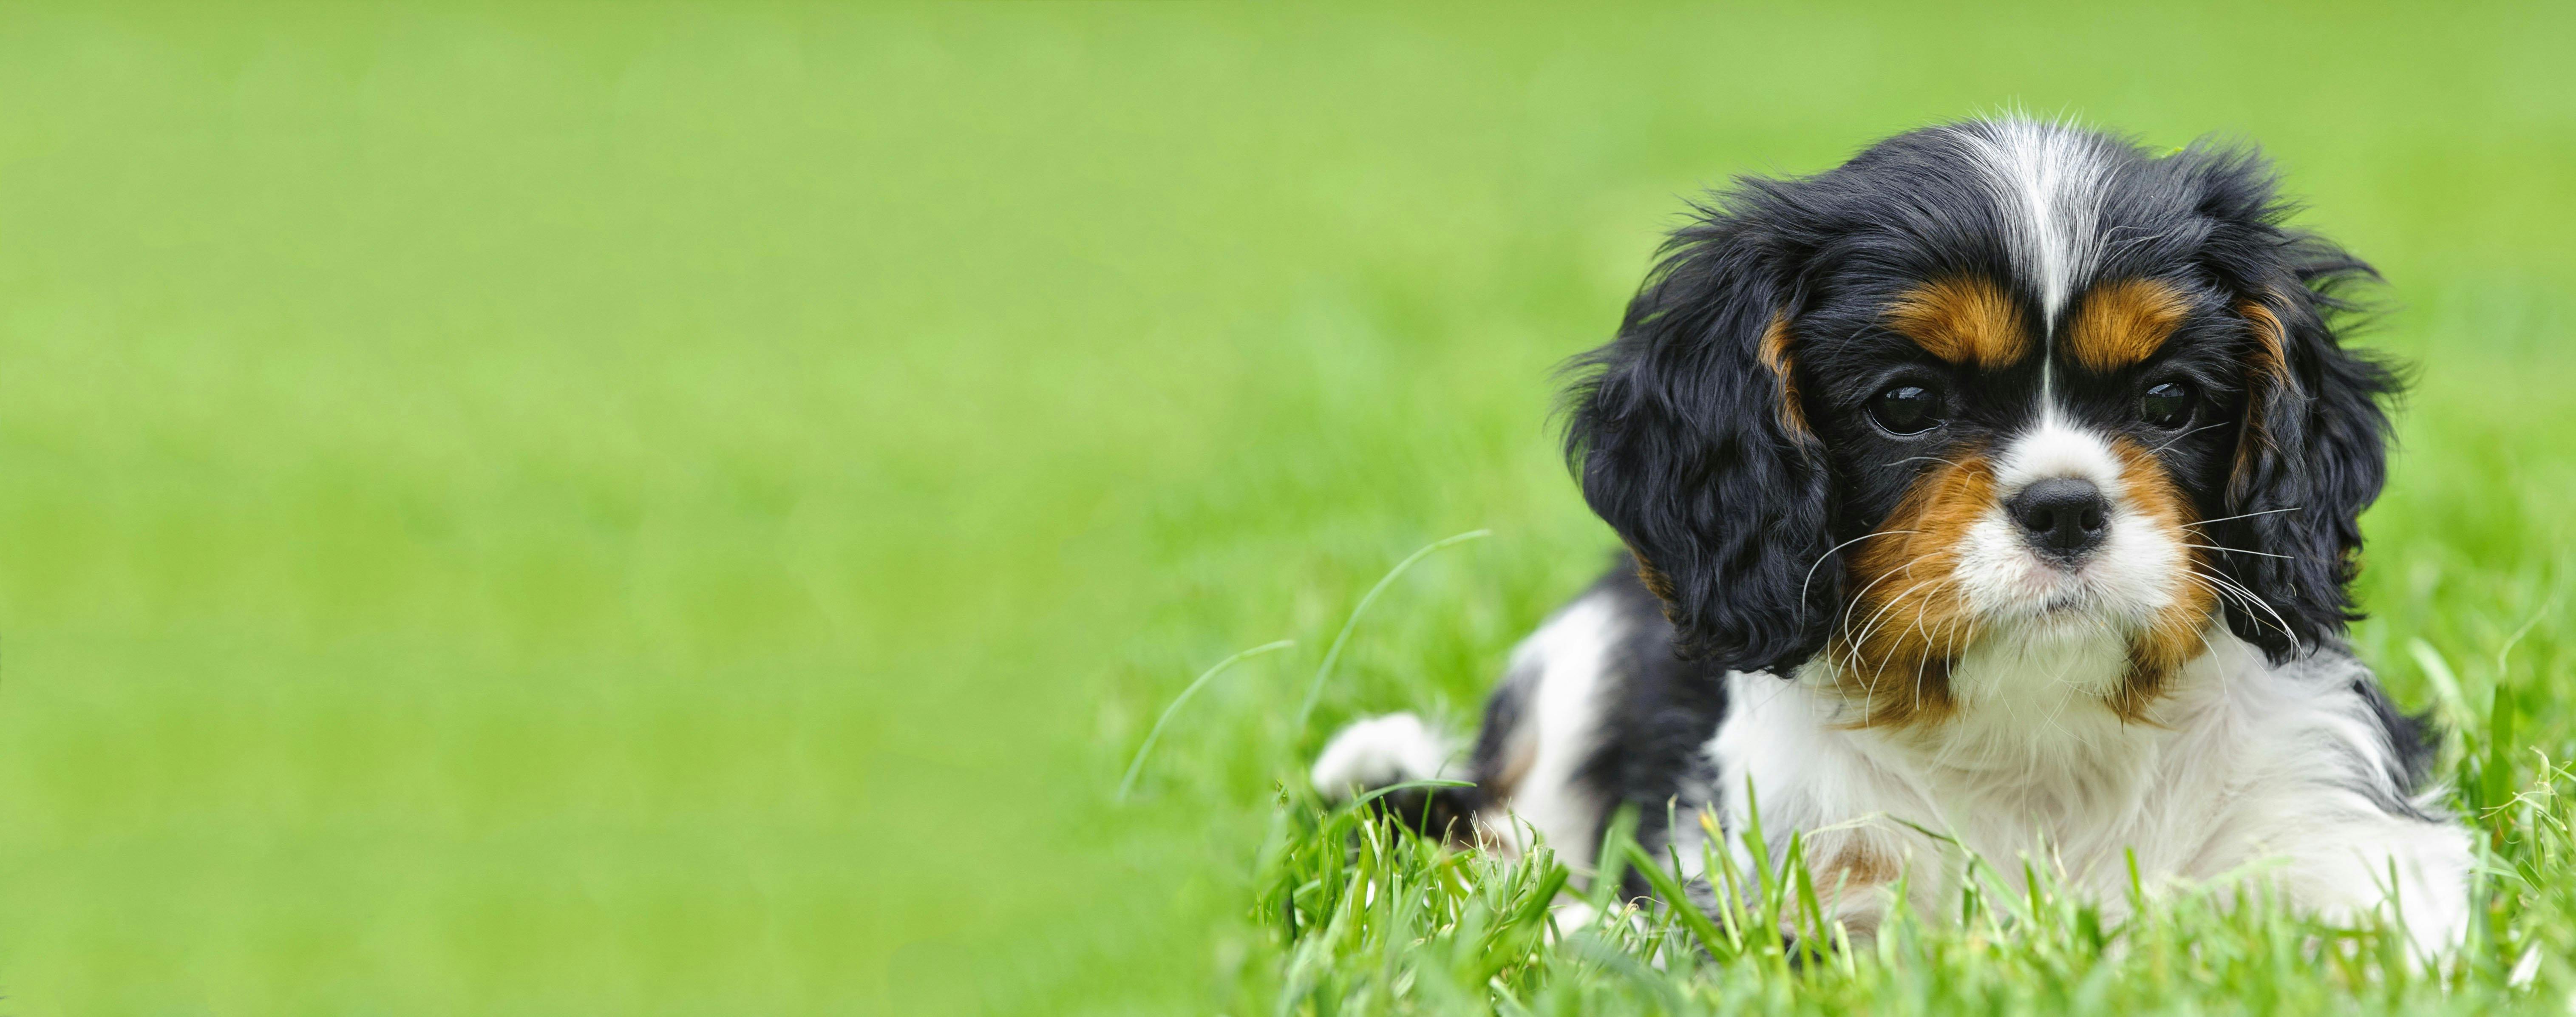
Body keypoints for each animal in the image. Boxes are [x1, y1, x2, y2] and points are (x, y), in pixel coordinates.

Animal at [1319, 122, 2463, 958]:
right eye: (1906, 403)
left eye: (2170, 400)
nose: (2064, 506)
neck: (2034, 730)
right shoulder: (1782, 876)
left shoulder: (2337, 826)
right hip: (1579, 665)